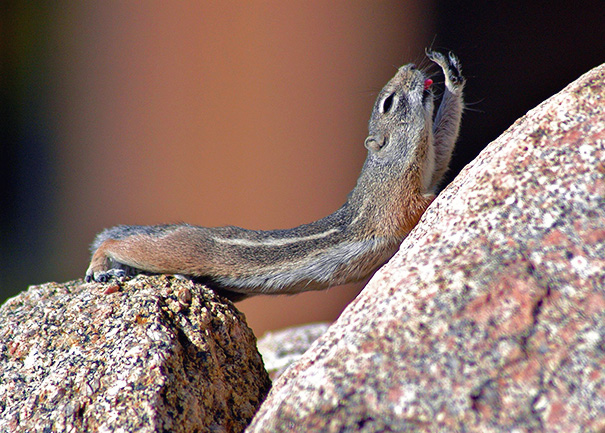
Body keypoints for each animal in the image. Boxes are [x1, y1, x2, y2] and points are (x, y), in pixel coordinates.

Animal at [84, 50, 462, 300]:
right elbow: (417, 207)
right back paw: (101, 266)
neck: (393, 164)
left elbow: (444, 148)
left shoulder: (432, 164)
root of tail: (184, 228)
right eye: (389, 103)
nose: (409, 66)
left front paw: (452, 76)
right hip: (178, 252)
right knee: (121, 244)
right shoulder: (395, 202)